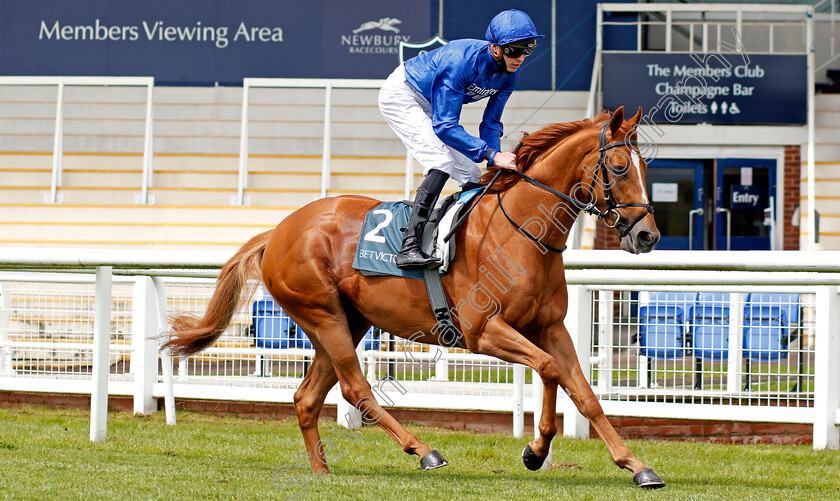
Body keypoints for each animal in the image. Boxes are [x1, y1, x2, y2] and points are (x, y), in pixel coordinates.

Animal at [162, 107, 664, 486]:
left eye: (646, 168)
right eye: (619, 167)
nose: (647, 235)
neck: (522, 231)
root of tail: (279, 231)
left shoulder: (552, 327)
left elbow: (584, 392)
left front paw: (636, 465)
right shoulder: (483, 332)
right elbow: (549, 369)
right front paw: (536, 448)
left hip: (348, 320)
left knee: (307, 397)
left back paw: (322, 470)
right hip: (323, 314)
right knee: (356, 388)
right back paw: (423, 450)